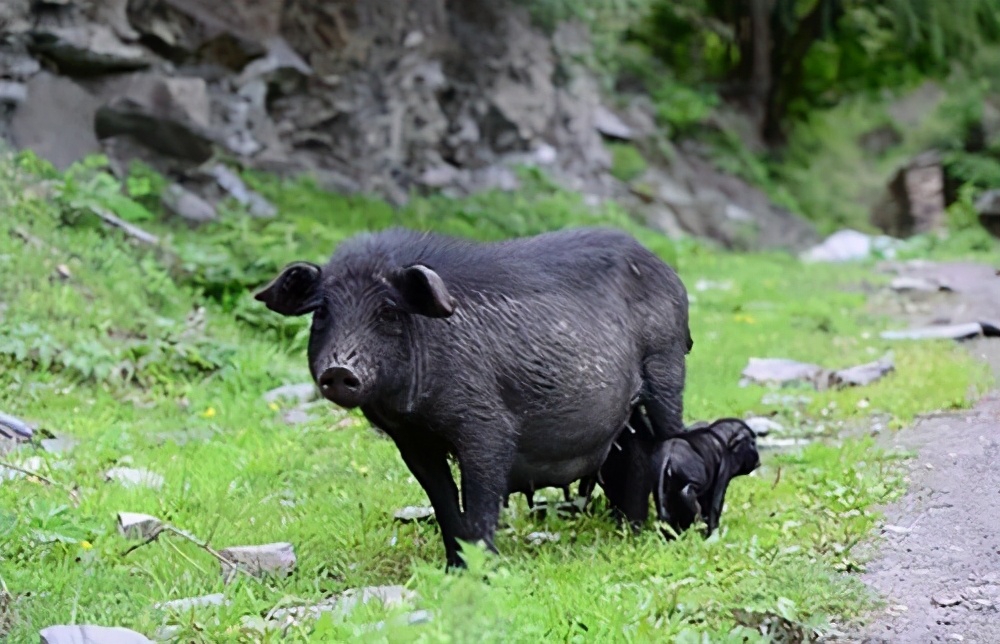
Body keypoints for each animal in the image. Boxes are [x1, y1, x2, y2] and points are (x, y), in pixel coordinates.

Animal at [254, 228, 692, 568]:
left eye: (388, 312)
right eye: (322, 313)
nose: (339, 370)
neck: (411, 410)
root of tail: (667, 270)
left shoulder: (486, 425)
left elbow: (480, 499)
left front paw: (483, 571)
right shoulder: (413, 442)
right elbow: (444, 502)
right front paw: (454, 569)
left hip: (667, 367)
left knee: (669, 438)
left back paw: (664, 531)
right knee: (636, 451)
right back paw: (629, 531)